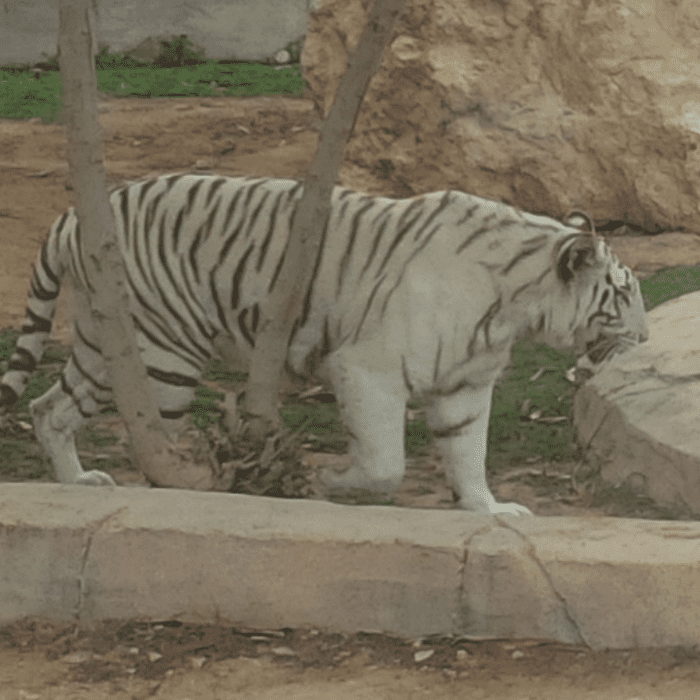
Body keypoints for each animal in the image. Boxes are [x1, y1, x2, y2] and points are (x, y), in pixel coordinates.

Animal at [0, 174, 649, 516]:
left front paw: (487, 508)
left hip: (105, 346)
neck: (514, 305)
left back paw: (78, 485)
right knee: (152, 443)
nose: (645, 337)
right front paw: (331, 485)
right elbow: (386, 464)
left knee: (49, 409)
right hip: (164, 354)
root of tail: (72, 217)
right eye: (623, 293)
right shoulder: (368, 369)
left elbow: (469, 452)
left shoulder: (464, 384)